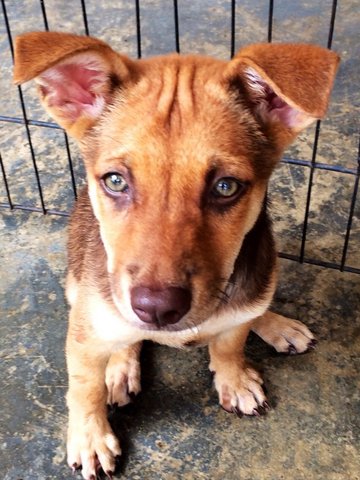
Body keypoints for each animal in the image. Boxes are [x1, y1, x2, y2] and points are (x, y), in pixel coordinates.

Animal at [14, 31, 340, 478]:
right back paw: (120, 368)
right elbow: (83, 388)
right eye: (115, 181)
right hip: (77, 288)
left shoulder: (235, 315)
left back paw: (276, 325)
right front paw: (90, 436)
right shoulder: (84, 333)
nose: (157, 309)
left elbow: (229, 345)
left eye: (225, 187)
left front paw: (233, 379)